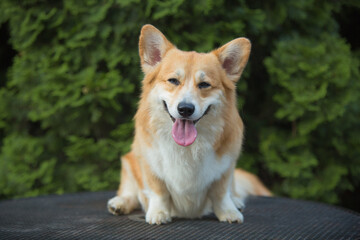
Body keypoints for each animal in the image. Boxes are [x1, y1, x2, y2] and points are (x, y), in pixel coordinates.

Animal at [107, 24, 270, 225]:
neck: (188, 148)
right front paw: (159, 213)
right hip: (130, 161)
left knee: (232, 190)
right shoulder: (150, 165)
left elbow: (221, 193)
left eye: (204, 84)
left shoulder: (225, 169)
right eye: (173, 81)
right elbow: (158, 191)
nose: (185, 109)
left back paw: (237, 202)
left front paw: (229, 212)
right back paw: (120, 203)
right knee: (131, 192)